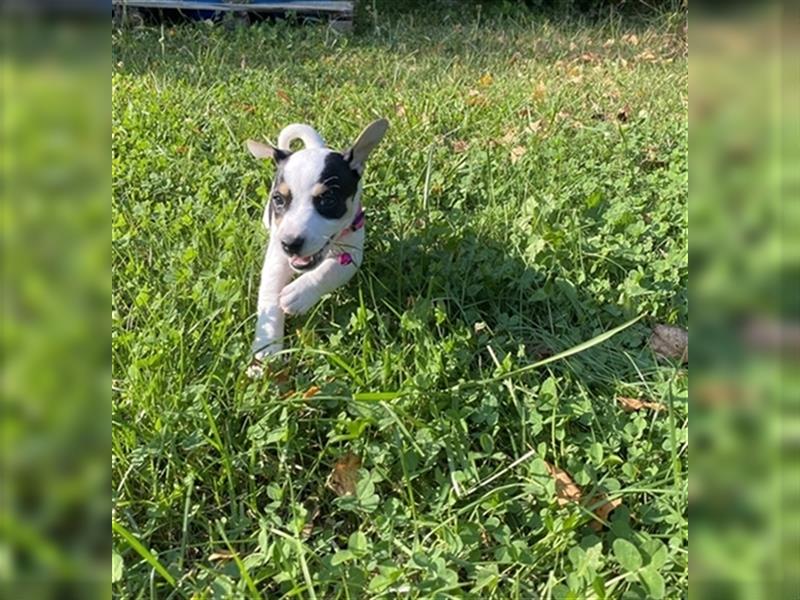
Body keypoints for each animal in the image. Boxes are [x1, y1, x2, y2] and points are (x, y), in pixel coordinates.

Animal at [247, 119, 390, 378]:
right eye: (278, 200)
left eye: (328, 200)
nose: (290, 244)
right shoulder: (277, 259)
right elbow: (269, 297)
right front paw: (266, 349)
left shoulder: (352, 253)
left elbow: (328, 271)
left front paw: (298, 294)